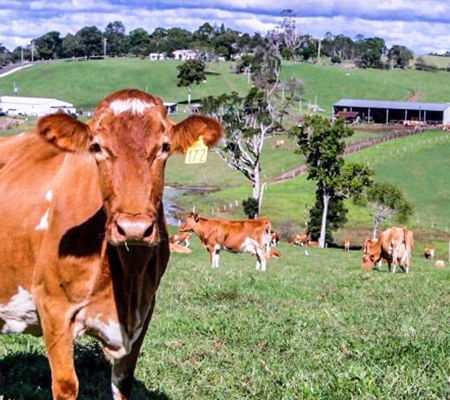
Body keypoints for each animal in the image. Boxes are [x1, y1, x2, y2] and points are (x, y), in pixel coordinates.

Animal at [0, 89, 223, 398]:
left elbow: (123, 382)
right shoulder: (52, 308)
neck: (126, 278)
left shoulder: (144, 311)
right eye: (96, 147)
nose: (133, 228)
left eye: (164, 147)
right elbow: (66, 385)